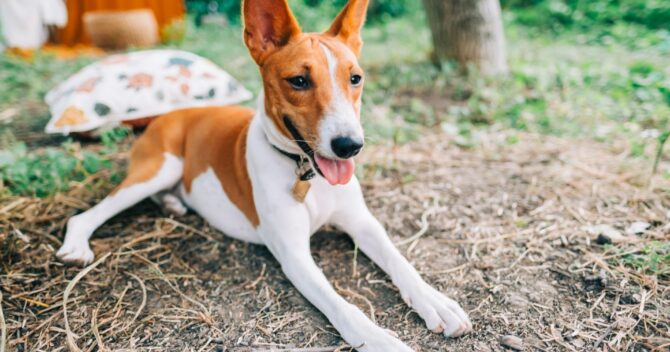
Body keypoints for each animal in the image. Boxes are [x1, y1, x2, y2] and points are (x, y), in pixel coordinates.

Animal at [57, 0, 476, 350]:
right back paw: (78, 245)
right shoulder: (293, 255)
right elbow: (343, 306)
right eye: (299, 81)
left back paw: (175, 204)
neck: (306, 173)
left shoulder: (362, 222)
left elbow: (400, 262)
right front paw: (377, 338)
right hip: (159, 167)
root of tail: (171, 113)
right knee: (89, 214)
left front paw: (435, 301)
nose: (349, 145)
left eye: (355, 78)